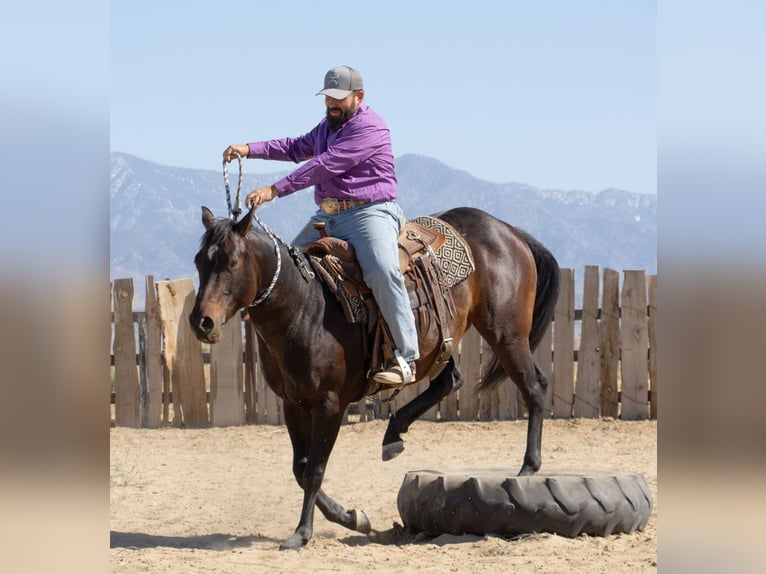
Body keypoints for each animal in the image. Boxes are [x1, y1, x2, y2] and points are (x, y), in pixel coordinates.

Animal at [189, 205, 560, 552]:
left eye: (232, 261)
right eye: (199, 261)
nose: (201, 322)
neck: (303, 305)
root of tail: (508, 230)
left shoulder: (330, 404)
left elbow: (314, 470)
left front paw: (302, 533)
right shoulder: (293, 404)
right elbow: (300, 467)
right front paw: (352, 517)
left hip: (506, 334)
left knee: (534, 386)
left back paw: (528, 468)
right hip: (441, 344)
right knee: (449, 381)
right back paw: (394, 433)